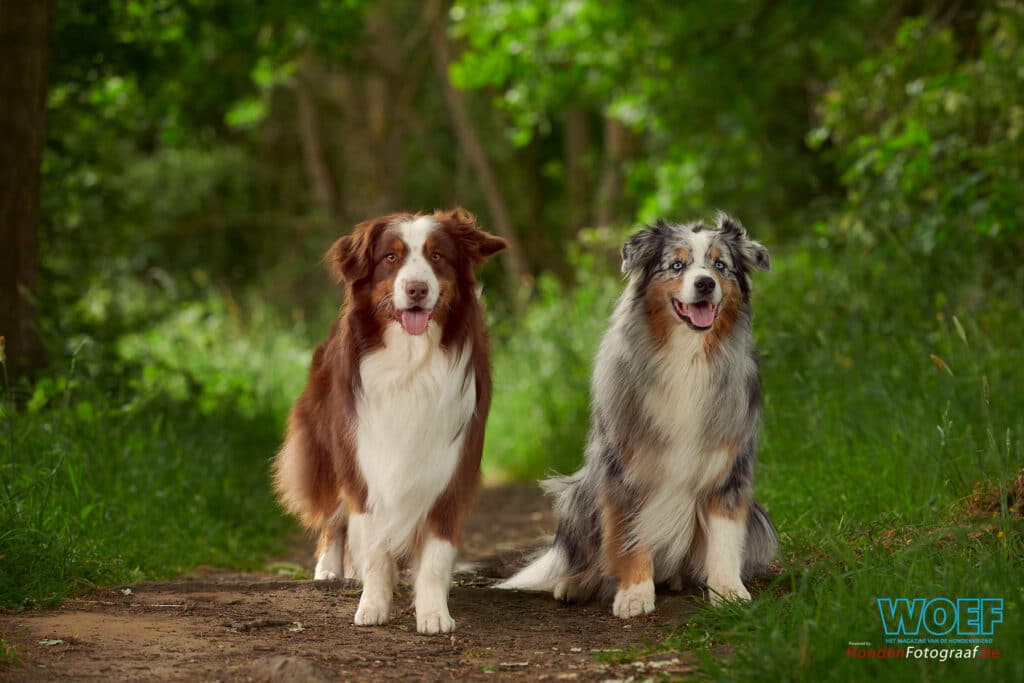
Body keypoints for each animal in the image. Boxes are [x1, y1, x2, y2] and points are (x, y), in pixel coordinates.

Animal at [274, 208, 505, 634]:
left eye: (437, 256)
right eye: (390, 258)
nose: (416, 289)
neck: (410, 363)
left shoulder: (451, 468)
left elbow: (434, 554)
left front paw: (433, 612)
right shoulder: (365, 460)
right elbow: (375, 545)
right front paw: (373, 605)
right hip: (328, 449)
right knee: (335, 517)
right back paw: (329, 569)